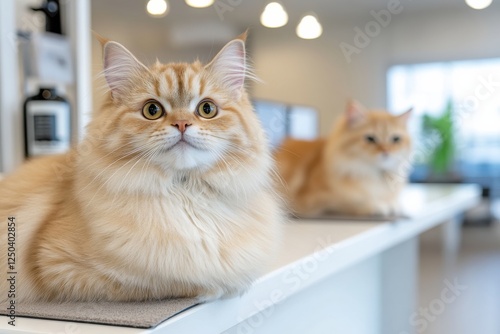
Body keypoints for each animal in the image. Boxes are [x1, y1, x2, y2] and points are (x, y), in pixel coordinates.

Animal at [0, 35, 284, 304]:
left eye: (207, 109)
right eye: (152, 110)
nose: (182, 124)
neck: (186, 195)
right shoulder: (59, 266)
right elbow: (168, 281)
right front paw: (220, 286)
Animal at [276, 100, 412, 218]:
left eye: (395, 139)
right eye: (370, 138)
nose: (386, 151)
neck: (372, 173)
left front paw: (395, 206)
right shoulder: (314, 200)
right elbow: (354, 202)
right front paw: (378, 206)